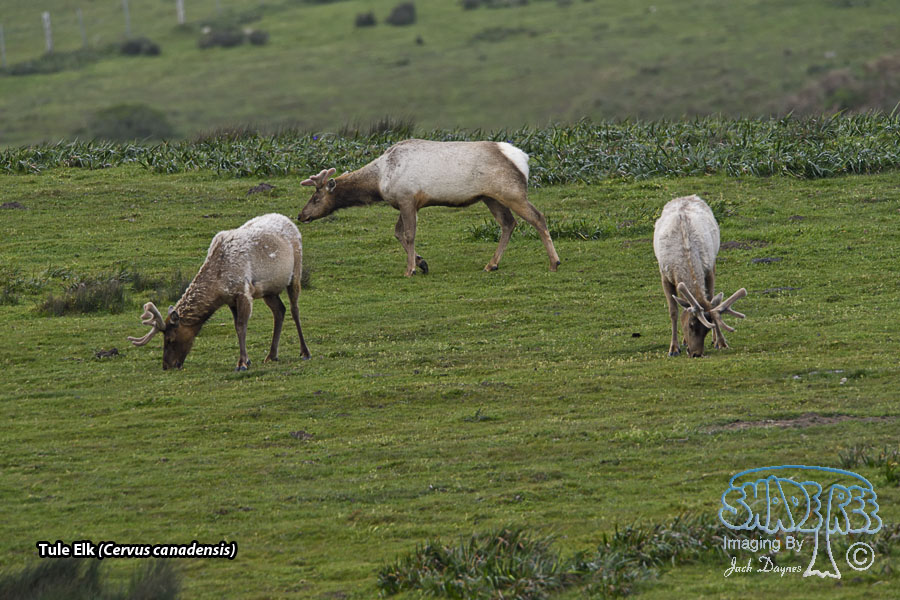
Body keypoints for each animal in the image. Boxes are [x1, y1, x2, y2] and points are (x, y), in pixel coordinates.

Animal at [128, 213, 311, 370]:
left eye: (170, 339)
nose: (167, 366)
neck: (218, 284)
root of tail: (290, 220)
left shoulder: (243, 291)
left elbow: (241, 326)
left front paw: (242, 363)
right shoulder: (230, 299)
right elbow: (237, 326)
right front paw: (247, 360)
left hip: (296, 271)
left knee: (294, 309)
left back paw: (305, 352)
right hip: (269, 290)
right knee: (280, 310)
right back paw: (272, 355)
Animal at [297, 139, 561, 276]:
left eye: (316, 198)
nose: (301, 215)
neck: (379, 182)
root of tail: (523, 159)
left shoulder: (407, 198)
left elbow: (408, 234)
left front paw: (411, 269)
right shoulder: (406, 202)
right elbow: (397, 233)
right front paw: (422, 263)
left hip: (511, 191)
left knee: (537, 217)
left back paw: (554, 262)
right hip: (490, 196)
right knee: (508, 223)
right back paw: (491, 264)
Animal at [653, 195, 747, 357]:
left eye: (708, 329)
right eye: (690, 325)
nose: (696, 353)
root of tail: (687, 196)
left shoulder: (708, 270)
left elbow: (711, 303)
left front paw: (721, 342)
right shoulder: (664, 275)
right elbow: (673, 311)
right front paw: (673, 348)